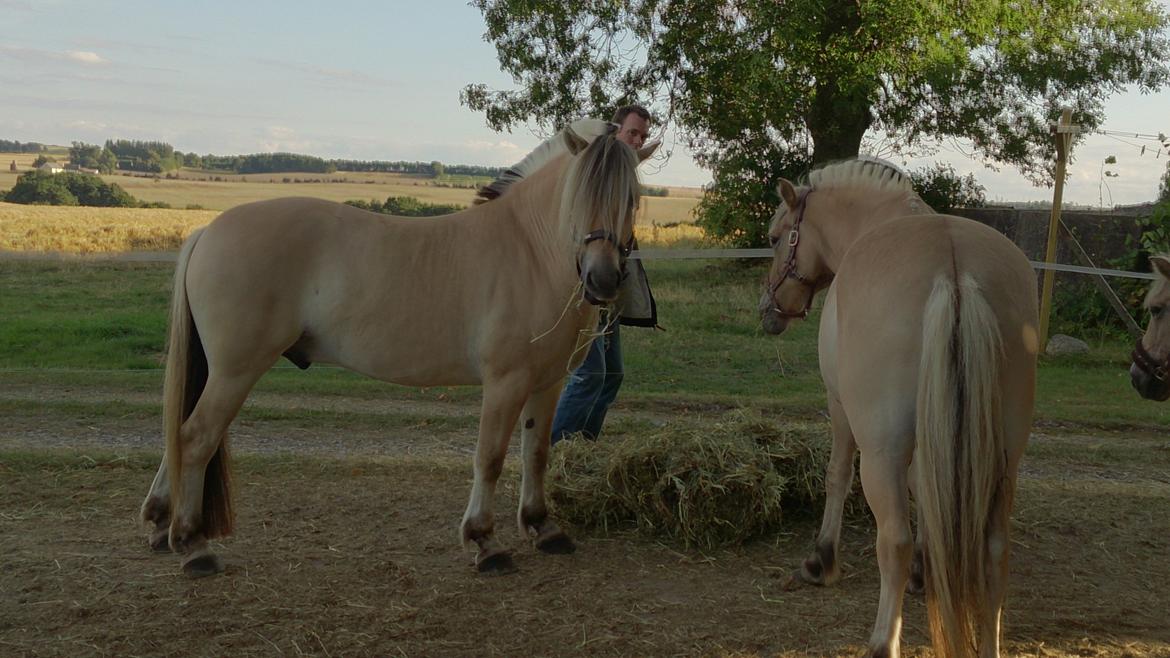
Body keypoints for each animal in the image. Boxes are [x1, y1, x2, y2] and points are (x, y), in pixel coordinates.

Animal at [139, 121, 659, 573]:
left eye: (632, 199)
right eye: (579, 195)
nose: (603, 280)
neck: (529, 249)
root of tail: (208, 232)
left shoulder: (547, 383)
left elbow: (536, 453)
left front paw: (542, 527)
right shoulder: (505, 382)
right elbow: (490, 457)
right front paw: (484, 541)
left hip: (221, 372)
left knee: (181, 436)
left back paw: (162, 524)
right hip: (235, 370)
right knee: (195, 438)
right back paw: (192, 544)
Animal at [762, 159, 1038, 655]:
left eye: (776, 237)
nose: (769, 309)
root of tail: (955, 272)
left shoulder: (839, 407)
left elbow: (836, 475)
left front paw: (820, 560)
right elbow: (926, 491)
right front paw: (926, 571)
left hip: (882, 452)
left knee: (893, 541)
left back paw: (881, 640)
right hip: (1003, 459)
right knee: (994, 551)